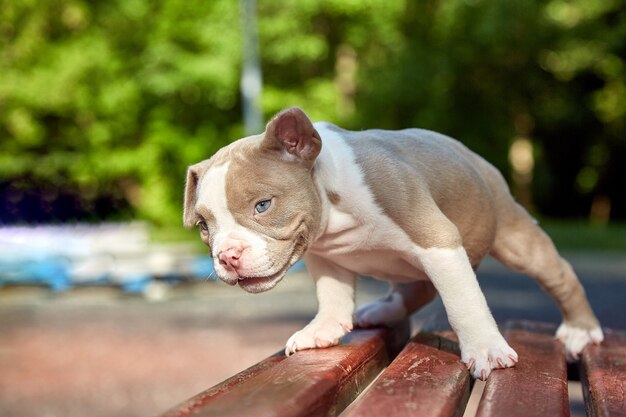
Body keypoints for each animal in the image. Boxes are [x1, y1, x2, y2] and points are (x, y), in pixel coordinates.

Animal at [183, 107, 604, 380]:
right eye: (203, 226)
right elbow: (332, 295)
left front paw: (485, 349)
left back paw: (580, 330)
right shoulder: (324, 256)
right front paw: (322, 329)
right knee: (416, 288)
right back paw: (382, 309)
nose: (227, 256)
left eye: (263, 205)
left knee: (559, 275)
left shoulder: (436, 239)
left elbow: (464, 303)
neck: (333, 208)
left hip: (514, 236)